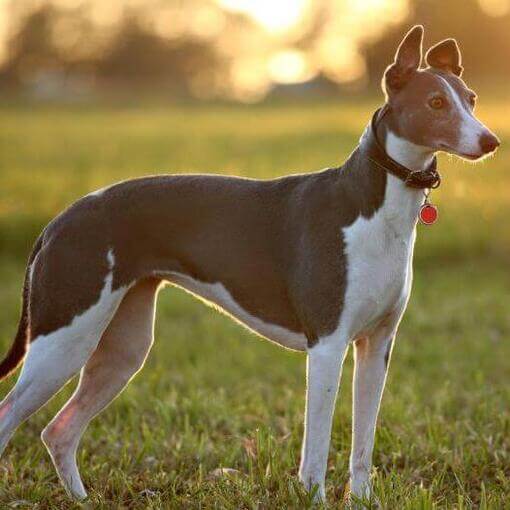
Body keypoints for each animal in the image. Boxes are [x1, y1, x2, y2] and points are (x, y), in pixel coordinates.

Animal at [0, 24, 500, 502]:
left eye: (471, 99)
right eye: (436, 102)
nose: (491, 140)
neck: (372, 205)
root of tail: (59, 221)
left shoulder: (376, 347)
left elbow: (362, 444)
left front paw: (362, 500)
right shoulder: (327, 346)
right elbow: (316, 447)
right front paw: (313, 497)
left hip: (121, 348)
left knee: (59, 430)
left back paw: (80, 498)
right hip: (64, 338)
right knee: (11, 417)